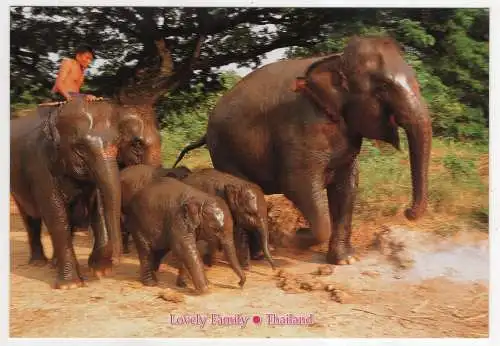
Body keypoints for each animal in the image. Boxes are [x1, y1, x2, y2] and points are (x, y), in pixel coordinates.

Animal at [172, 35, 430, 264]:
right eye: (383, 87)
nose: (408, 212)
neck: (336, 59)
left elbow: (347, 185)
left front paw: (346, 260)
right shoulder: (302, 126)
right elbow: (296, 183)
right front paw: (292, 237)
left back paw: (259, 255)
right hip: (225, 149)